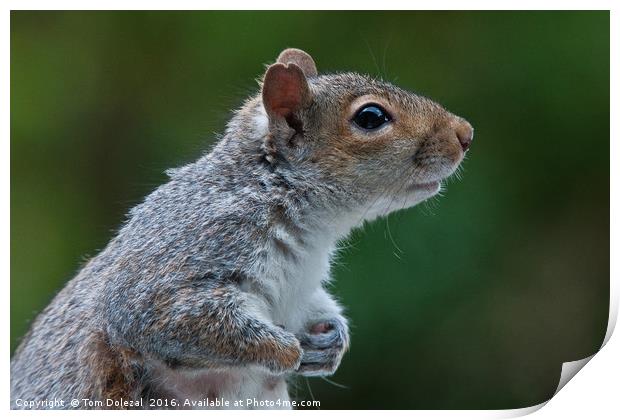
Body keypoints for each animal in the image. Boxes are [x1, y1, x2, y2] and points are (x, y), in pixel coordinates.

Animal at [9, 47, 472, 408]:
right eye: (371, 117)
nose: (466, 133)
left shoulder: (302, 285)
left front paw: (332, 341)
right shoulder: (192, 246)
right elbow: (157, 315)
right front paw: (287, 351)